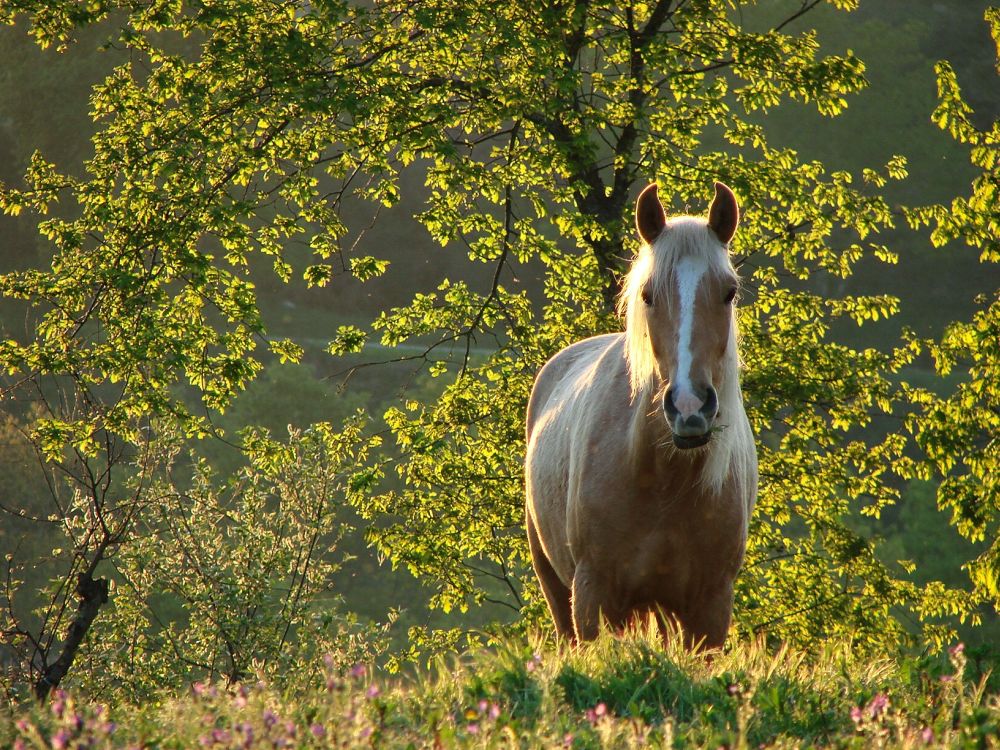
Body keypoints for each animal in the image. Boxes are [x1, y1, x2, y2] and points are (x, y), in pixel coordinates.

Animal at [528, 182, 752, 652]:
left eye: (729, 292)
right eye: (648, 295)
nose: (689, 407)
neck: (661, 478)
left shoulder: (710, 607)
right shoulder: (592, 596)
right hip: (557, 589)